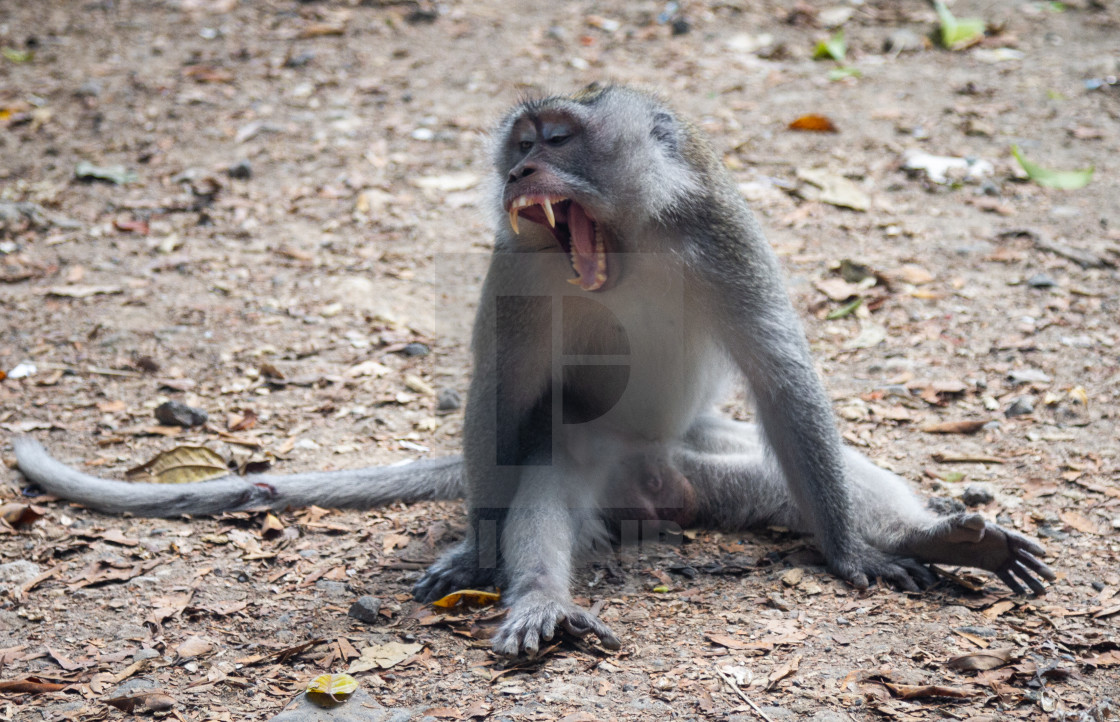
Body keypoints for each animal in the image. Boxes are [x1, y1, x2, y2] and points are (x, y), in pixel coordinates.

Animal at [13, 82, 1052, 653]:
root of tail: (660, 482)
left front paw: (853, 551)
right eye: (520, 145)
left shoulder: (721, 232)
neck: (628, 241)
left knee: (786, 458)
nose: (519, 172)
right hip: (601, 463)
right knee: (546, 465)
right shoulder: (516, 264)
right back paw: (544, 599)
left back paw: (938, 539)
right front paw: (479, 555)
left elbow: (782, 375)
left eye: (556, 138)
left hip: (711, 464)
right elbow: (503, 393)